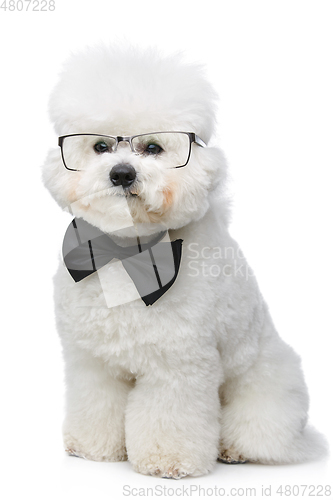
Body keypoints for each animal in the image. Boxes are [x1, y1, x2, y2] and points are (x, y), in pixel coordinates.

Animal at [42, 45, 326, 478]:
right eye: (100, 147)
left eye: (153, 149)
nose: (121, 173)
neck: (127, 253)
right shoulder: (92, 362)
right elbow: (96, 402)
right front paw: (92, 447)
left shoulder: (178, 367)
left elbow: (169, 417)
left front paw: (168, 460)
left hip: (268, 387)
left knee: (260, 431)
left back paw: (234, 449)